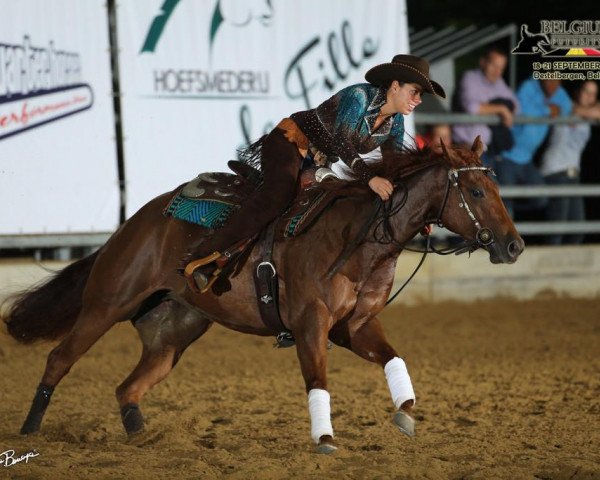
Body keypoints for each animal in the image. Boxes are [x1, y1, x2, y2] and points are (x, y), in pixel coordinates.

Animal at [3, 136, 520, 454]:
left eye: (494, 185)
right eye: (476, 191)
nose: (513, 245)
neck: (355, 235)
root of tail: (131, 225)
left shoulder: (352, 326)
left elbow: (394, 359)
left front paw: (407, 415)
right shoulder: (311, 325)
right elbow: (317, 381)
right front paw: (325, 440)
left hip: (173, 334)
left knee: (127, 388)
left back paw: (142, 438)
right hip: (106, 305)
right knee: (58, 360)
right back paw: (30, 433)